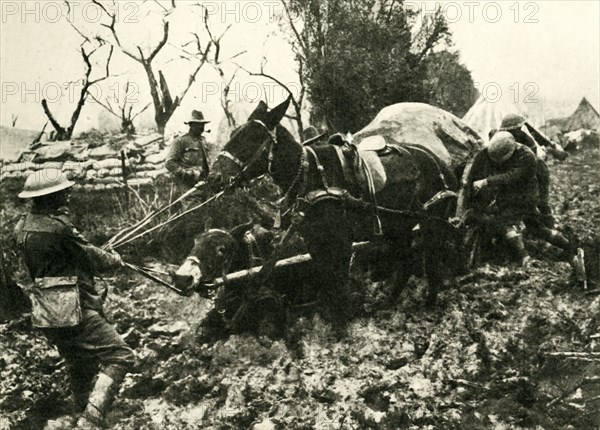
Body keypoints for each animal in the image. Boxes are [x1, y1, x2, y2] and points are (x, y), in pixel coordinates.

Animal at [210, 99, 460, 318]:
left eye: (252, 137)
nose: (214, 178)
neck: (309, 175)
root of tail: (440, 162)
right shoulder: (314, 241)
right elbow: (326, 281)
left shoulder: (340, 241)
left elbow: (338, 282)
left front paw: (343, 323)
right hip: (399, 225)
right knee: (406, 262)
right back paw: (388, 304)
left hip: (431, 222)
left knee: (432, 260)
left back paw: (430, 304)